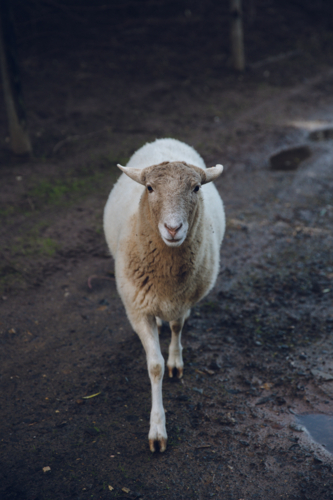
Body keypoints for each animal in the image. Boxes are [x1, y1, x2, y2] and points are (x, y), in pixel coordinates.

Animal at [102, 138, 224, 454]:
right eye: (149, 188)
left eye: (196, 188)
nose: (172, 228)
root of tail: (165, 141)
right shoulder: (137, 309)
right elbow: (153, 366)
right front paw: (157, 428)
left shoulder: (182, 300)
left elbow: (178, 328)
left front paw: (175, 361)